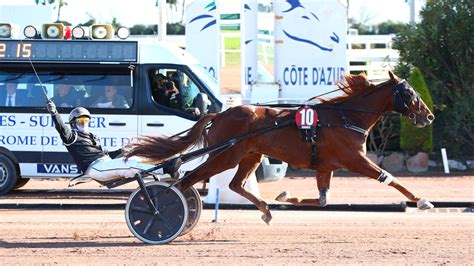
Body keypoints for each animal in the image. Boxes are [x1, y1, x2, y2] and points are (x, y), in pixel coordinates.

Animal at [124, 71, 436, 224]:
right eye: (409, 93)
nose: (429, 116)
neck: (346, 117)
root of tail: (220, 114)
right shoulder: (355, 160)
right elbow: (390, 178)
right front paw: (422, 200)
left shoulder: (325, 166)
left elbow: (323, 200)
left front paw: (286, 196)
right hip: (226, 155)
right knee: (188, 180)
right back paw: (163, 211)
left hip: (250, 155)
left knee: (235, 184)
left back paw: (266, 210)